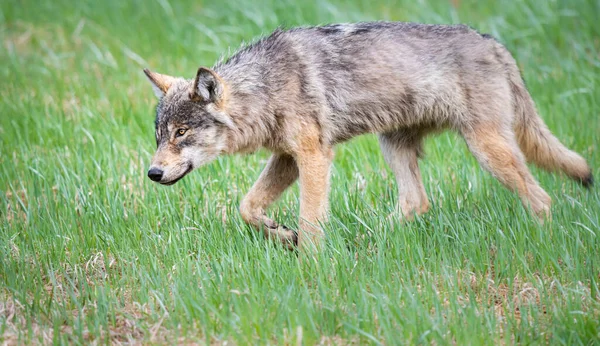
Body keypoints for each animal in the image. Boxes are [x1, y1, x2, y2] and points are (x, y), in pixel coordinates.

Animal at [143, 21, 592, 250]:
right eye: (160, 136)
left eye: (181, 133)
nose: (152, 173)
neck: (265, 87)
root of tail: (495, 44)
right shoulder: (288, 158)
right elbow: (247, 208)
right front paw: (282, 234)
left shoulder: (313, 156)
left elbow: (310, 221)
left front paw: (310, 264)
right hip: (393, 147)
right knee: (416, 204)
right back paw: (366, 238)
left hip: (487, 150)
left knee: (542, 199)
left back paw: (543, 244)